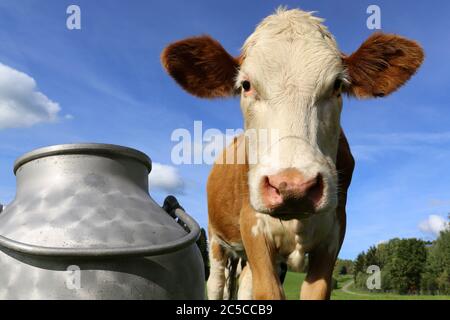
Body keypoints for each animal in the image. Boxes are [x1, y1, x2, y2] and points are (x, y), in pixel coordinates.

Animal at [162, 7, 426, 298]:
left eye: (337, 85)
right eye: (246, 85)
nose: (292, 187)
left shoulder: (334, 233)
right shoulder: (252, 226)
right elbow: (267, 292)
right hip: (216, 239)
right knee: (217, 283)